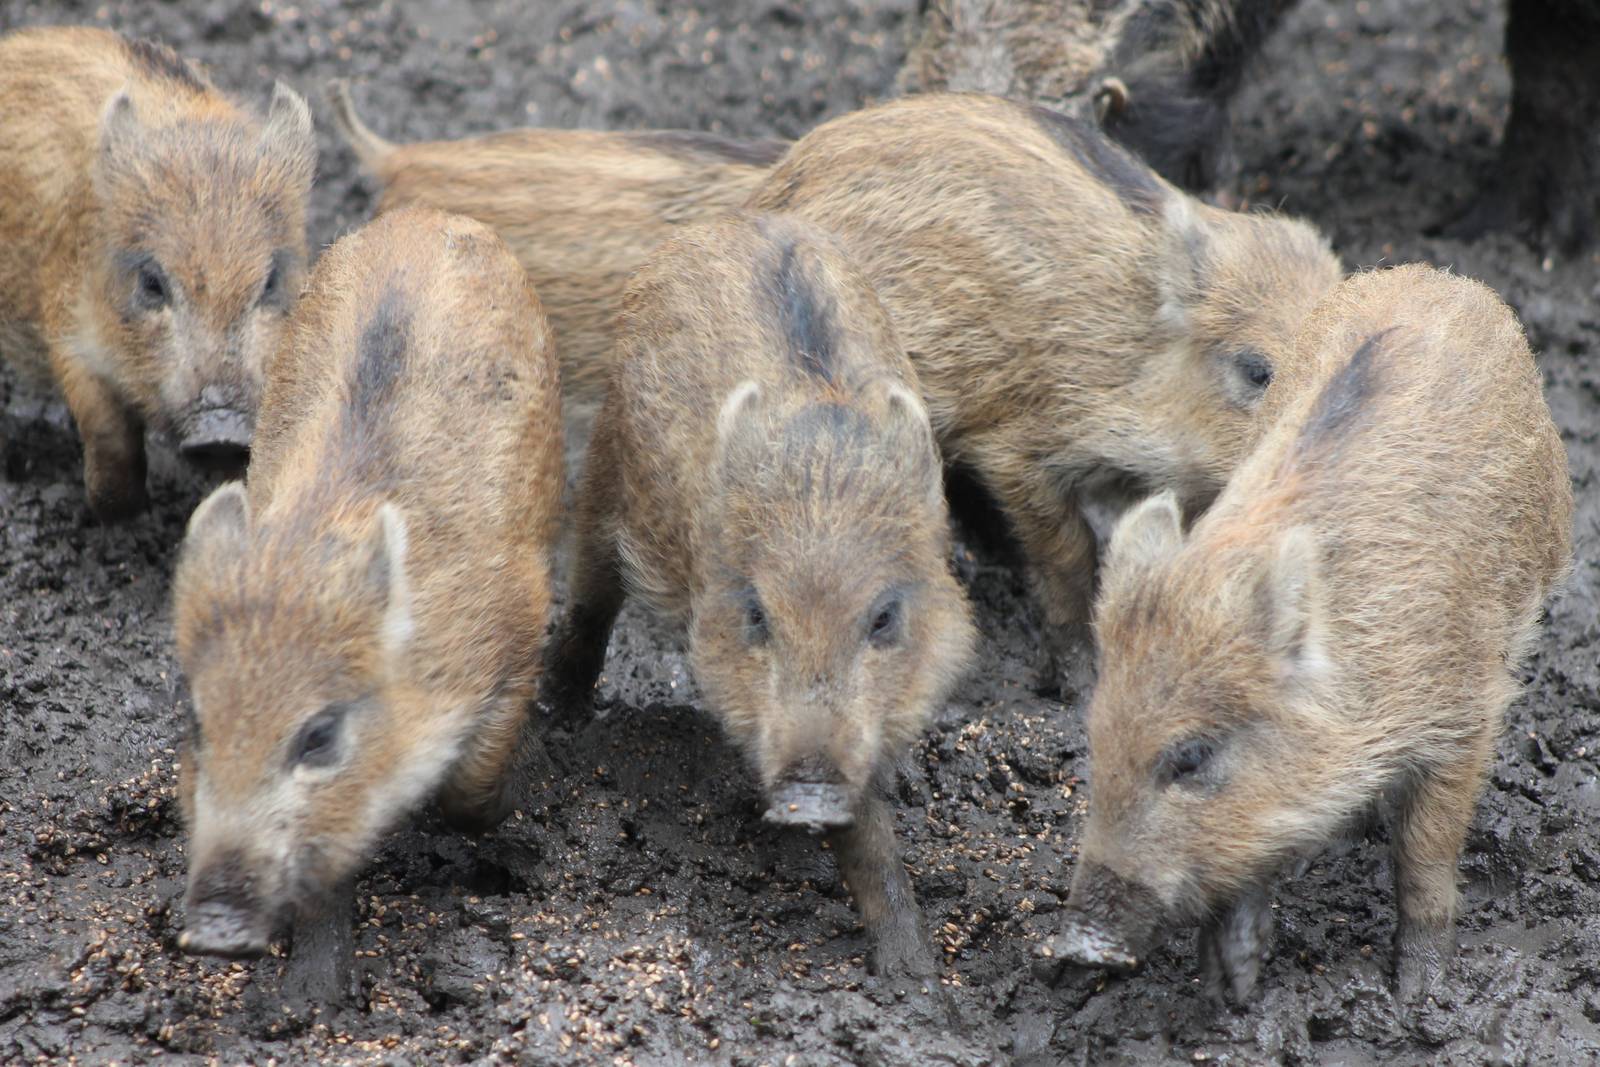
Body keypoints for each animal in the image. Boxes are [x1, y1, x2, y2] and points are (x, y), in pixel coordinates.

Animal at [0, 27, 315, 519]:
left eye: (270, 282)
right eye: (152, 283)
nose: (221, 429)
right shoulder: (68, 328)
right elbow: (109, 434)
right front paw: (116, 512)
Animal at [171, 206, 561, 958]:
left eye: (320, 735)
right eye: (198, 723)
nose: (212, 927)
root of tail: (438, 216)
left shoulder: (521, 625)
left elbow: (472, 790)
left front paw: (507, 811)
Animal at [541, 211, 977, 979]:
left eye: (884, 617)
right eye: (756, 614)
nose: (809, 791)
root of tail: (731, 222)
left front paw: (917, 977)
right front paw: (913, 979)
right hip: (605, 468)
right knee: (590, 600)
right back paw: (557, 713)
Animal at [1044, 264, 1573, 1006]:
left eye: (1191, 758)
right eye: (1094, 738)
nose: (1075, 945)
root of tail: (1442, 276)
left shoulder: (1464, 713)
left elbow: (1424, 854)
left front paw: (1418, 995)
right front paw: (1229, 990)